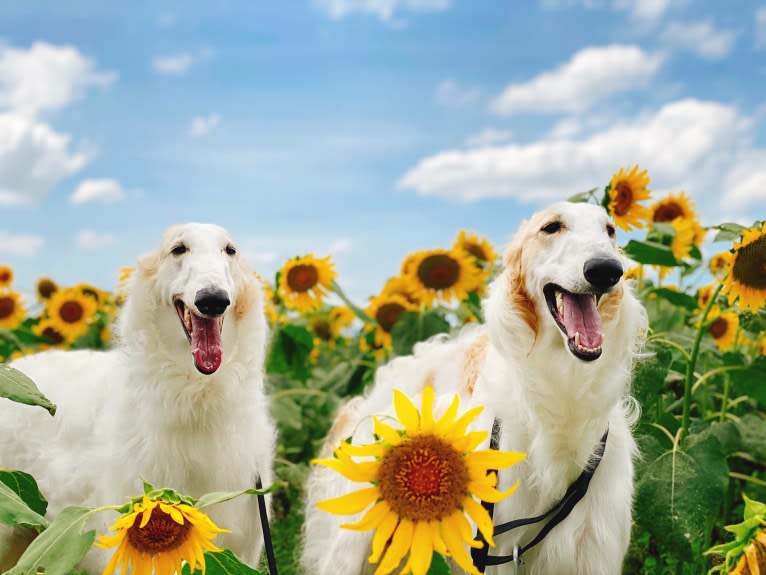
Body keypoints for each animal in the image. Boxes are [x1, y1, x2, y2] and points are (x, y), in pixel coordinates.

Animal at [304, 202, 652, 575]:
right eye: (552, 227)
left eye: (610, 231)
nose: (606, 269)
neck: (563, 391)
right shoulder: (495, 540)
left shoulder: (592, 545)